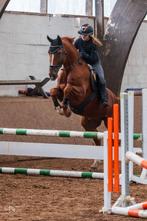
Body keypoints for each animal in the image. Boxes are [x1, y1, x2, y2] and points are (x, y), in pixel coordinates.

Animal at [47, 35, 119, 168]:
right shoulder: (59, 90)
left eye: (59, 52)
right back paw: (96, 163)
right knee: (97, 137)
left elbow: (68, 89)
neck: (70, 68)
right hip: (89, 122)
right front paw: (59, 108)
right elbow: (54, 91)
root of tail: (116, 98)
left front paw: (65, 109)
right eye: (49, 52)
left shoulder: (80, 94)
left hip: (110, 119)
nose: (52, 75)